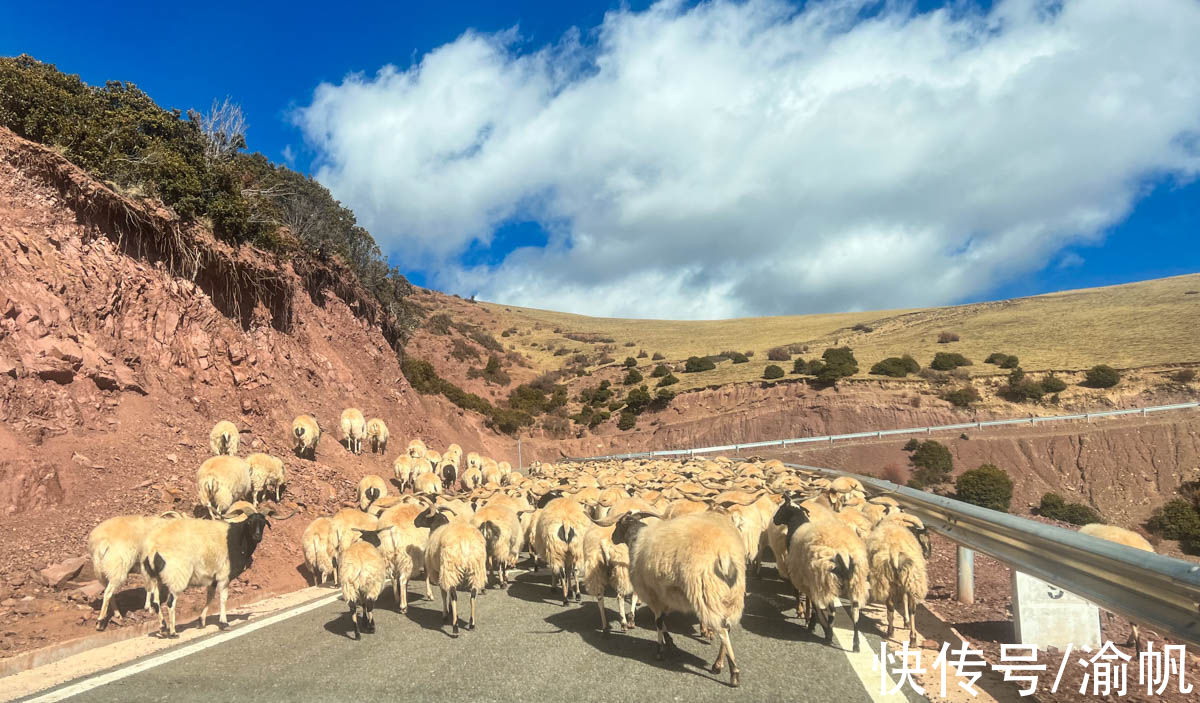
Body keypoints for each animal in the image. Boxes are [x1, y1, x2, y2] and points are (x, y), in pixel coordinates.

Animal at [138, 503, 290, 633]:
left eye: (263, 523)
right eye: (249, 523)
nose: (257, 536)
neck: (236, 539)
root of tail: (153, 549)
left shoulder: (212, 578)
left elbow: (210, 598)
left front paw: (201, 622)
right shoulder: (224, 577)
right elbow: (223, 598)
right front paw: (224, 623)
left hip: (155, 577)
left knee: (156, 602)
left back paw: (162, 628)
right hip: (177, 578)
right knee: (170, 602)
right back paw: (173, 632)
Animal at [412, 501, 487, 633]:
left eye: (426, 512)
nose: (415, 521)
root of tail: (465, 542)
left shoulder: (438, 572)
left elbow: (443, 593)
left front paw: (446, 613)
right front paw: (451, 610)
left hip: (450, 568)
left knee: (453, 595)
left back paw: (455, 627)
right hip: (475, 569)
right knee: (473, 594)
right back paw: (471, 624)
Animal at [614, 508, 744, 686]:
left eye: (618, 524)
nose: (612, 538)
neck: (637, 537)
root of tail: (723, 554)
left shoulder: (652, 594)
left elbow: (658, 621)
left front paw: (660, 650)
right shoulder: (665, 596)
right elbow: (661, 621)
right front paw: (669, 642)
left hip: (708, 593)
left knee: (723, 629)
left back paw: (733, 672)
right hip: (732, 596)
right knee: (728, 627)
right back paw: (719, 663)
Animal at [772, 494, 868, 647]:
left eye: (781, 508)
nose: (774, 520)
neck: (798, 524)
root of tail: (844, 554)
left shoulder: (800, 575)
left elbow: (802, 597)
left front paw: (806, 618)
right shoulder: (809, 579)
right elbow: (811, 603)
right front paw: (809, 619)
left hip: (826, 581)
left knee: (832, 610)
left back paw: (828, 633)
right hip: (855, 583)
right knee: (855, 611)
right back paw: (855, 644)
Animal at [868, 506, 931, 643]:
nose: (928, 554)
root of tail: (895, 551)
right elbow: (905, 598)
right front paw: (906, 622)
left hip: (888, 580)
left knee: (891, 606)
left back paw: (891, 632)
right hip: (910, 578)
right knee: (911, 608)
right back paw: (912, 638)